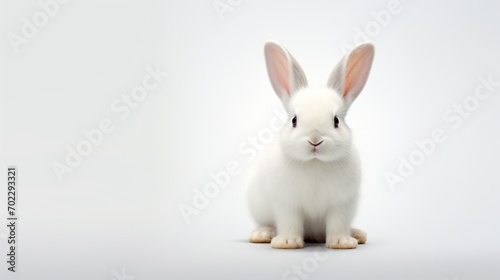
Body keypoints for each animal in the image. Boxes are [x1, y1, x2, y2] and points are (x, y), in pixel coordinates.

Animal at [248, 41, 374, 249]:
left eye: (336, 121)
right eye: (294, 120)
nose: (315, 140)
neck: (315, 162)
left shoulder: (342, 204)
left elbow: (338, 223)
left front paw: (342, 242)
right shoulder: (287, 203)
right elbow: (289, 222)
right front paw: (287, 242)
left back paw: (357, 234)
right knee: (265, 223)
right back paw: (262, 234)